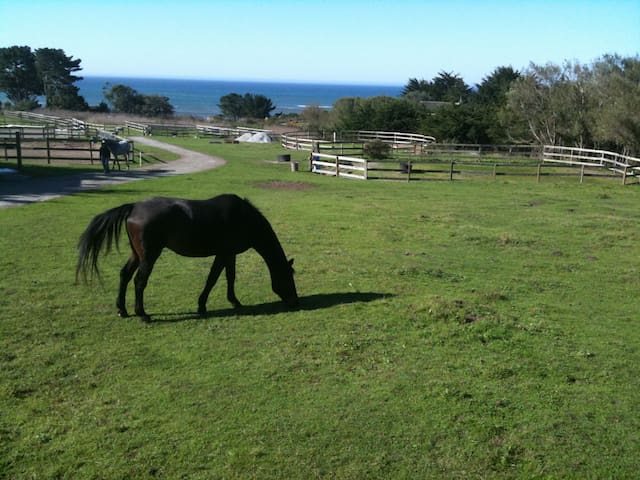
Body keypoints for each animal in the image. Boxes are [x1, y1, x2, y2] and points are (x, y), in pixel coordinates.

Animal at [76, 194, 298, 322]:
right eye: (288, 277)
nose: (295, 301)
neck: (244, 218)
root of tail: (134, 207)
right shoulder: (223, 254)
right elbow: (212, 279)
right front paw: (202, 306)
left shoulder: (229, 254)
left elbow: (230, 277)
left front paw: (234, 301)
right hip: (149, 255)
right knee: (139, 281)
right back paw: (143, 314)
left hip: (136, 254)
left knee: (124, 275)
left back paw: (122, 310)